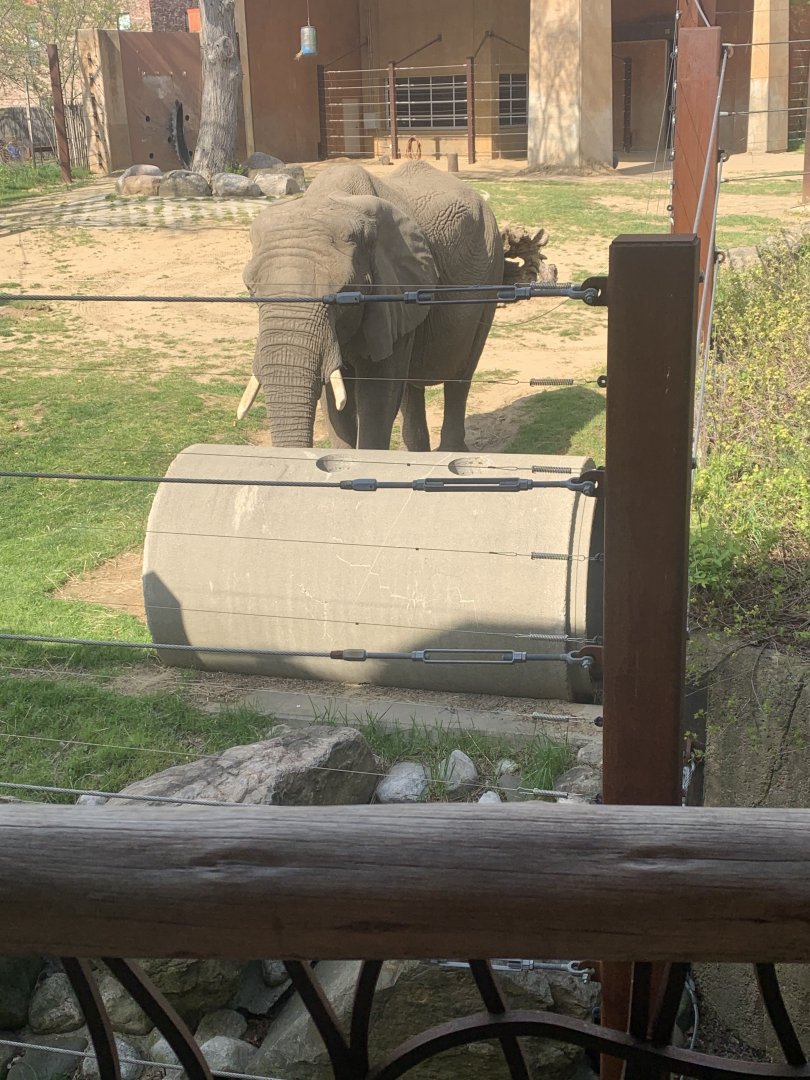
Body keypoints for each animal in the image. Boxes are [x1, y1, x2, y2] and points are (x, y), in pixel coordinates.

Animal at [238, 160, 504, 450]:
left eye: (343, 293)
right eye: (250, 290)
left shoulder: (393, 294)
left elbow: (378, 397)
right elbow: (335, 405)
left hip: (491, 266)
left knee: (461, 373)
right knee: (411, 387)